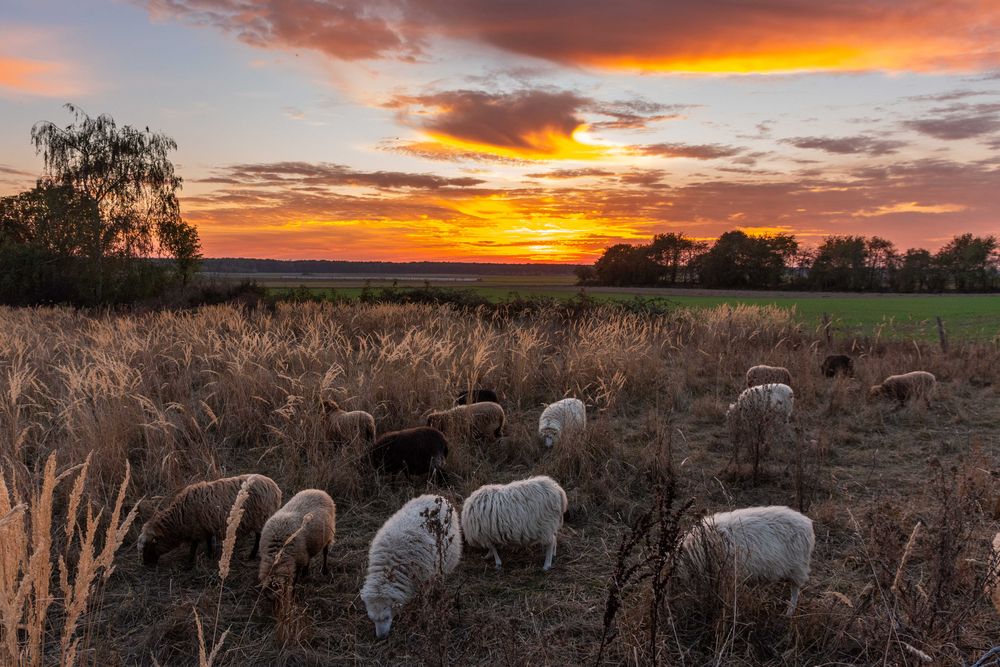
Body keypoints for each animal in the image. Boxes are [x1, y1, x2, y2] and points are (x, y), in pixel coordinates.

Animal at [137, 474, 282, 568]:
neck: (178, 519)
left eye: (149, 546)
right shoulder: (206, 527)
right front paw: (209, 555)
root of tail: (276, 489)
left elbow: (194, 546)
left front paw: (190, 562)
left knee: (259, 537)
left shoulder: (196, 529)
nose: (146, 565)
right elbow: (207, 541)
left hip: (261, 518)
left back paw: (252, 555)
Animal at [362, 494, 462, 640]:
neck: (390, 565)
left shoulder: (425, 579)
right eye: (372, 618)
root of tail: (436, 495)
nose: (381, 637)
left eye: (386, 617)